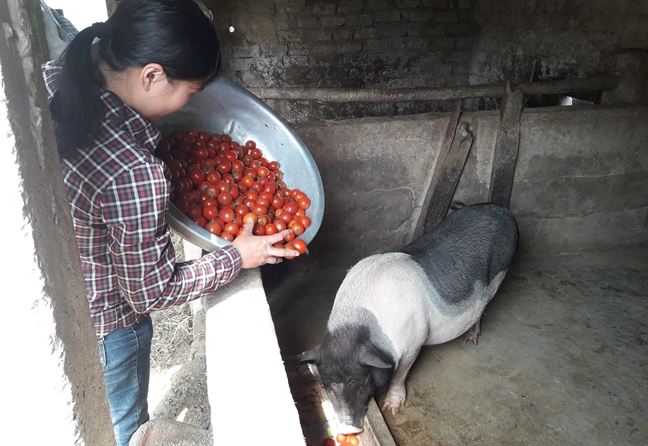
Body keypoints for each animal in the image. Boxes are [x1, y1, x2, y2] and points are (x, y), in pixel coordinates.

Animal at [302, 202, 520, 432]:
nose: (349, 429)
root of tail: (502, 210)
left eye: (360, 384)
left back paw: (471, 339)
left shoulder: (414, 341)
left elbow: (400, 374)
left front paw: (392, 409)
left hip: (500, 275)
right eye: (327, 386)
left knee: (484, 307)